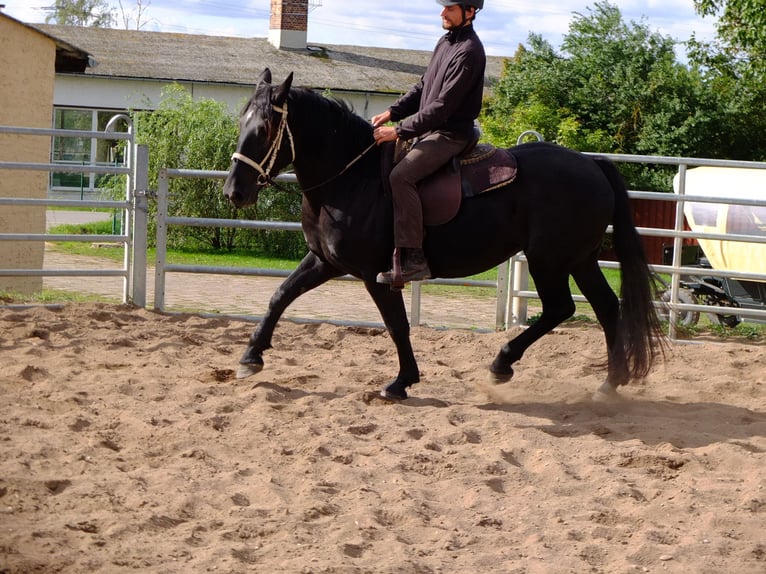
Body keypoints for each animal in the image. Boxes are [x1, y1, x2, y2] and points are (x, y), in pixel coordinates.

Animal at [222, 70, 664, 402]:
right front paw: (250, 357)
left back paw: (502, 364)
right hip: (580, 259)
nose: (234, 192)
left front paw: (401, 382)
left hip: (548, 259)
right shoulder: (325, 261)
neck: (352, 178)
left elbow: (397, 325)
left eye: (265, 128)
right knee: (606, 307)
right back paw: (609, 384)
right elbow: (280, 295)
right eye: (241, 122)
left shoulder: (375, 274)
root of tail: (592, 165)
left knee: (560, 309)